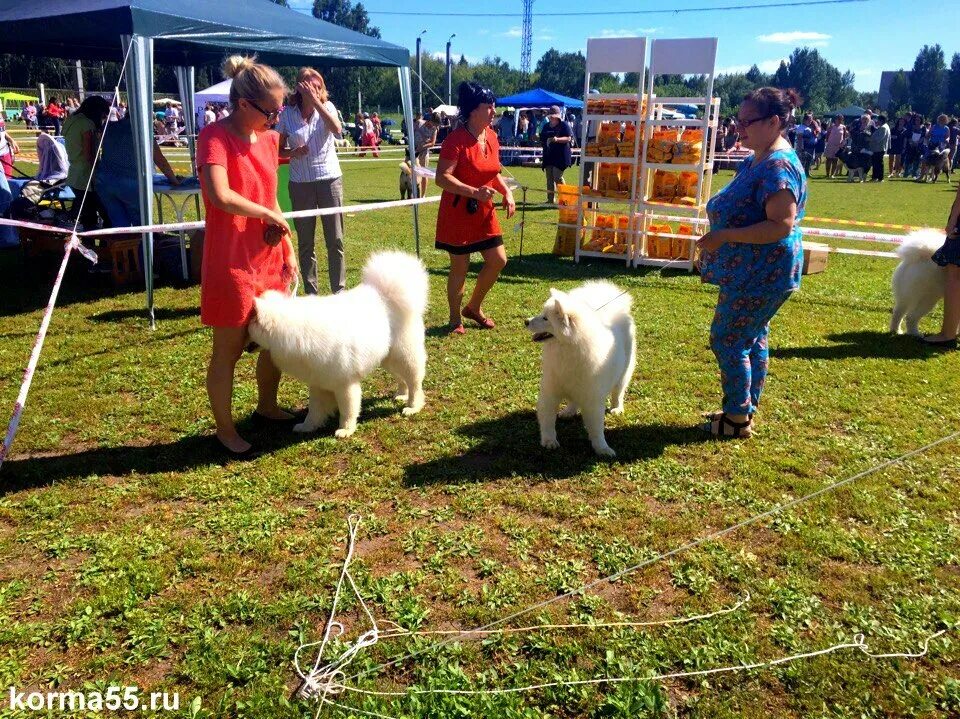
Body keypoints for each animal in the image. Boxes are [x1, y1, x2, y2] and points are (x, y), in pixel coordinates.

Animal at [248, 250, 428, 436]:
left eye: (248, 327)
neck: (296, 332)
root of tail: (385, 294)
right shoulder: (318, 381)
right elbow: (315, 410)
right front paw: (307, 426)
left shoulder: (345, 384)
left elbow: (347, 410)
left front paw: (345, 429)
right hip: (388, 358)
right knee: (401, 378)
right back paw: (401, 394)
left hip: (404, 356)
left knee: (414, 382)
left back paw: (412, 406)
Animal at [524, 280, 636, 456]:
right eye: (542, 314)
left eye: (545, 318)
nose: (526, 321)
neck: (567, 352)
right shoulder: (550, 392)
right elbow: (548, 420)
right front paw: (549, 441)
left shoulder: (593, 399)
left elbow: (597, 429)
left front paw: (602, 448)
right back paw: (568, 412)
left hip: (624, 372)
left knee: (618, 392)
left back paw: (617, 408)